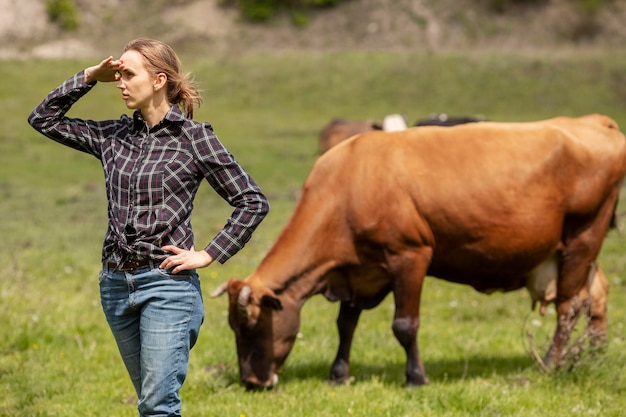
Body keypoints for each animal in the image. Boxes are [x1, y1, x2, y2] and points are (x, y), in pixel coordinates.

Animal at [212, 113, 620, 386]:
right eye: (231, 327)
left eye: (251, 326)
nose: (252, 382)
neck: (348, 185)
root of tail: (593, 121)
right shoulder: (357, 269)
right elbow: (345, 324)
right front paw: (338, 374)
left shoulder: (409, 256)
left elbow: (404, 325)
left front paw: (415, 377)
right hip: (568, 251)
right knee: (596, 293)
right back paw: (596, 352)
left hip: (583, 237)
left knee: (569, 306)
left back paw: (551, 362)